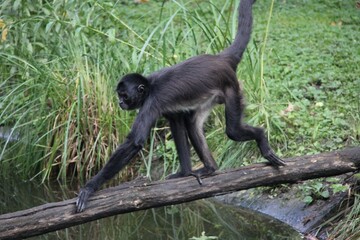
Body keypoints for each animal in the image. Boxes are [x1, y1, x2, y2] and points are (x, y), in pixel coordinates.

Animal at [75, 0, 284, 214]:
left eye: (124, 95)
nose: (120, 102)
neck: (150, 86)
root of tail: (221, 59)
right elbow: (176, 123)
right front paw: (184, 173)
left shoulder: (152, 102)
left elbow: (135, 142)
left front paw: (90, 187)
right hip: (213, 96)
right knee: (192, 124)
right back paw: (210, 168)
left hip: (231, 88)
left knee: (232, 130)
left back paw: (260, 136)